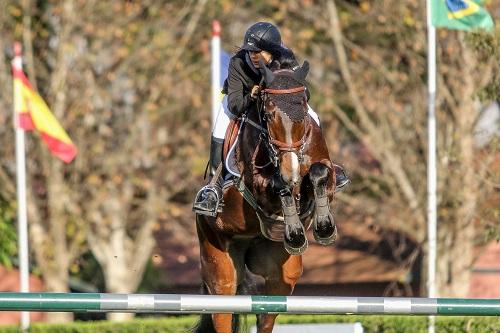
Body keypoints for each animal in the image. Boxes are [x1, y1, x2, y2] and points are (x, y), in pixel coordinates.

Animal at [194, 57, 336, 332]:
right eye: (269, 115)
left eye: (304, 109)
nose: (291, 170)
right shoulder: (258, 187)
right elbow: (279, 186)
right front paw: (295, 231)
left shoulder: (327, 172)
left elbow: (319, 173)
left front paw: (324, 228)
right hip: (219, 263)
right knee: (223, 309)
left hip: (280, 273)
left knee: (267, 312)